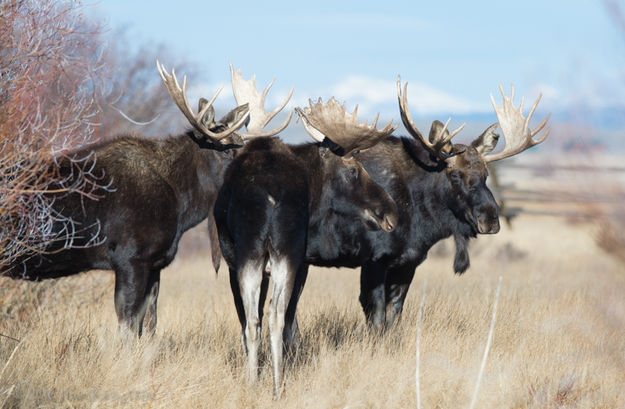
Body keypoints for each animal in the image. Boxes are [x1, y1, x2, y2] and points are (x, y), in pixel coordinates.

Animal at [214, 65, 398, 394]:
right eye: (354, 169)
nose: (391, 212)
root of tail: (270, 192)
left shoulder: (260, 261)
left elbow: (266, 320)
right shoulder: (300, 262)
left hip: (255, 254)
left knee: (259, 318)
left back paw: (262, 383)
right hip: (271, 254)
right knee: (269, 316)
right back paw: (273, 384)